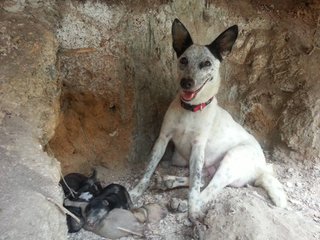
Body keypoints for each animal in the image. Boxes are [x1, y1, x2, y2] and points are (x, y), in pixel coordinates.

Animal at [129, 18, 286, 221]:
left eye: (206, 63)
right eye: (183, 60)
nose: (186, 83)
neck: (191, 109)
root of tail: (262, 168)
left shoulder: (198, 148)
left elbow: (195, 184)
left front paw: (193, 208)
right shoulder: (163, 139)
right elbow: (149, 169)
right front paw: (136, 191)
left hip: (231, 160)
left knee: (210, 188)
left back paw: (184, 203)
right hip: (194, 162)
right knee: (204, 178)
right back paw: (169, 182)